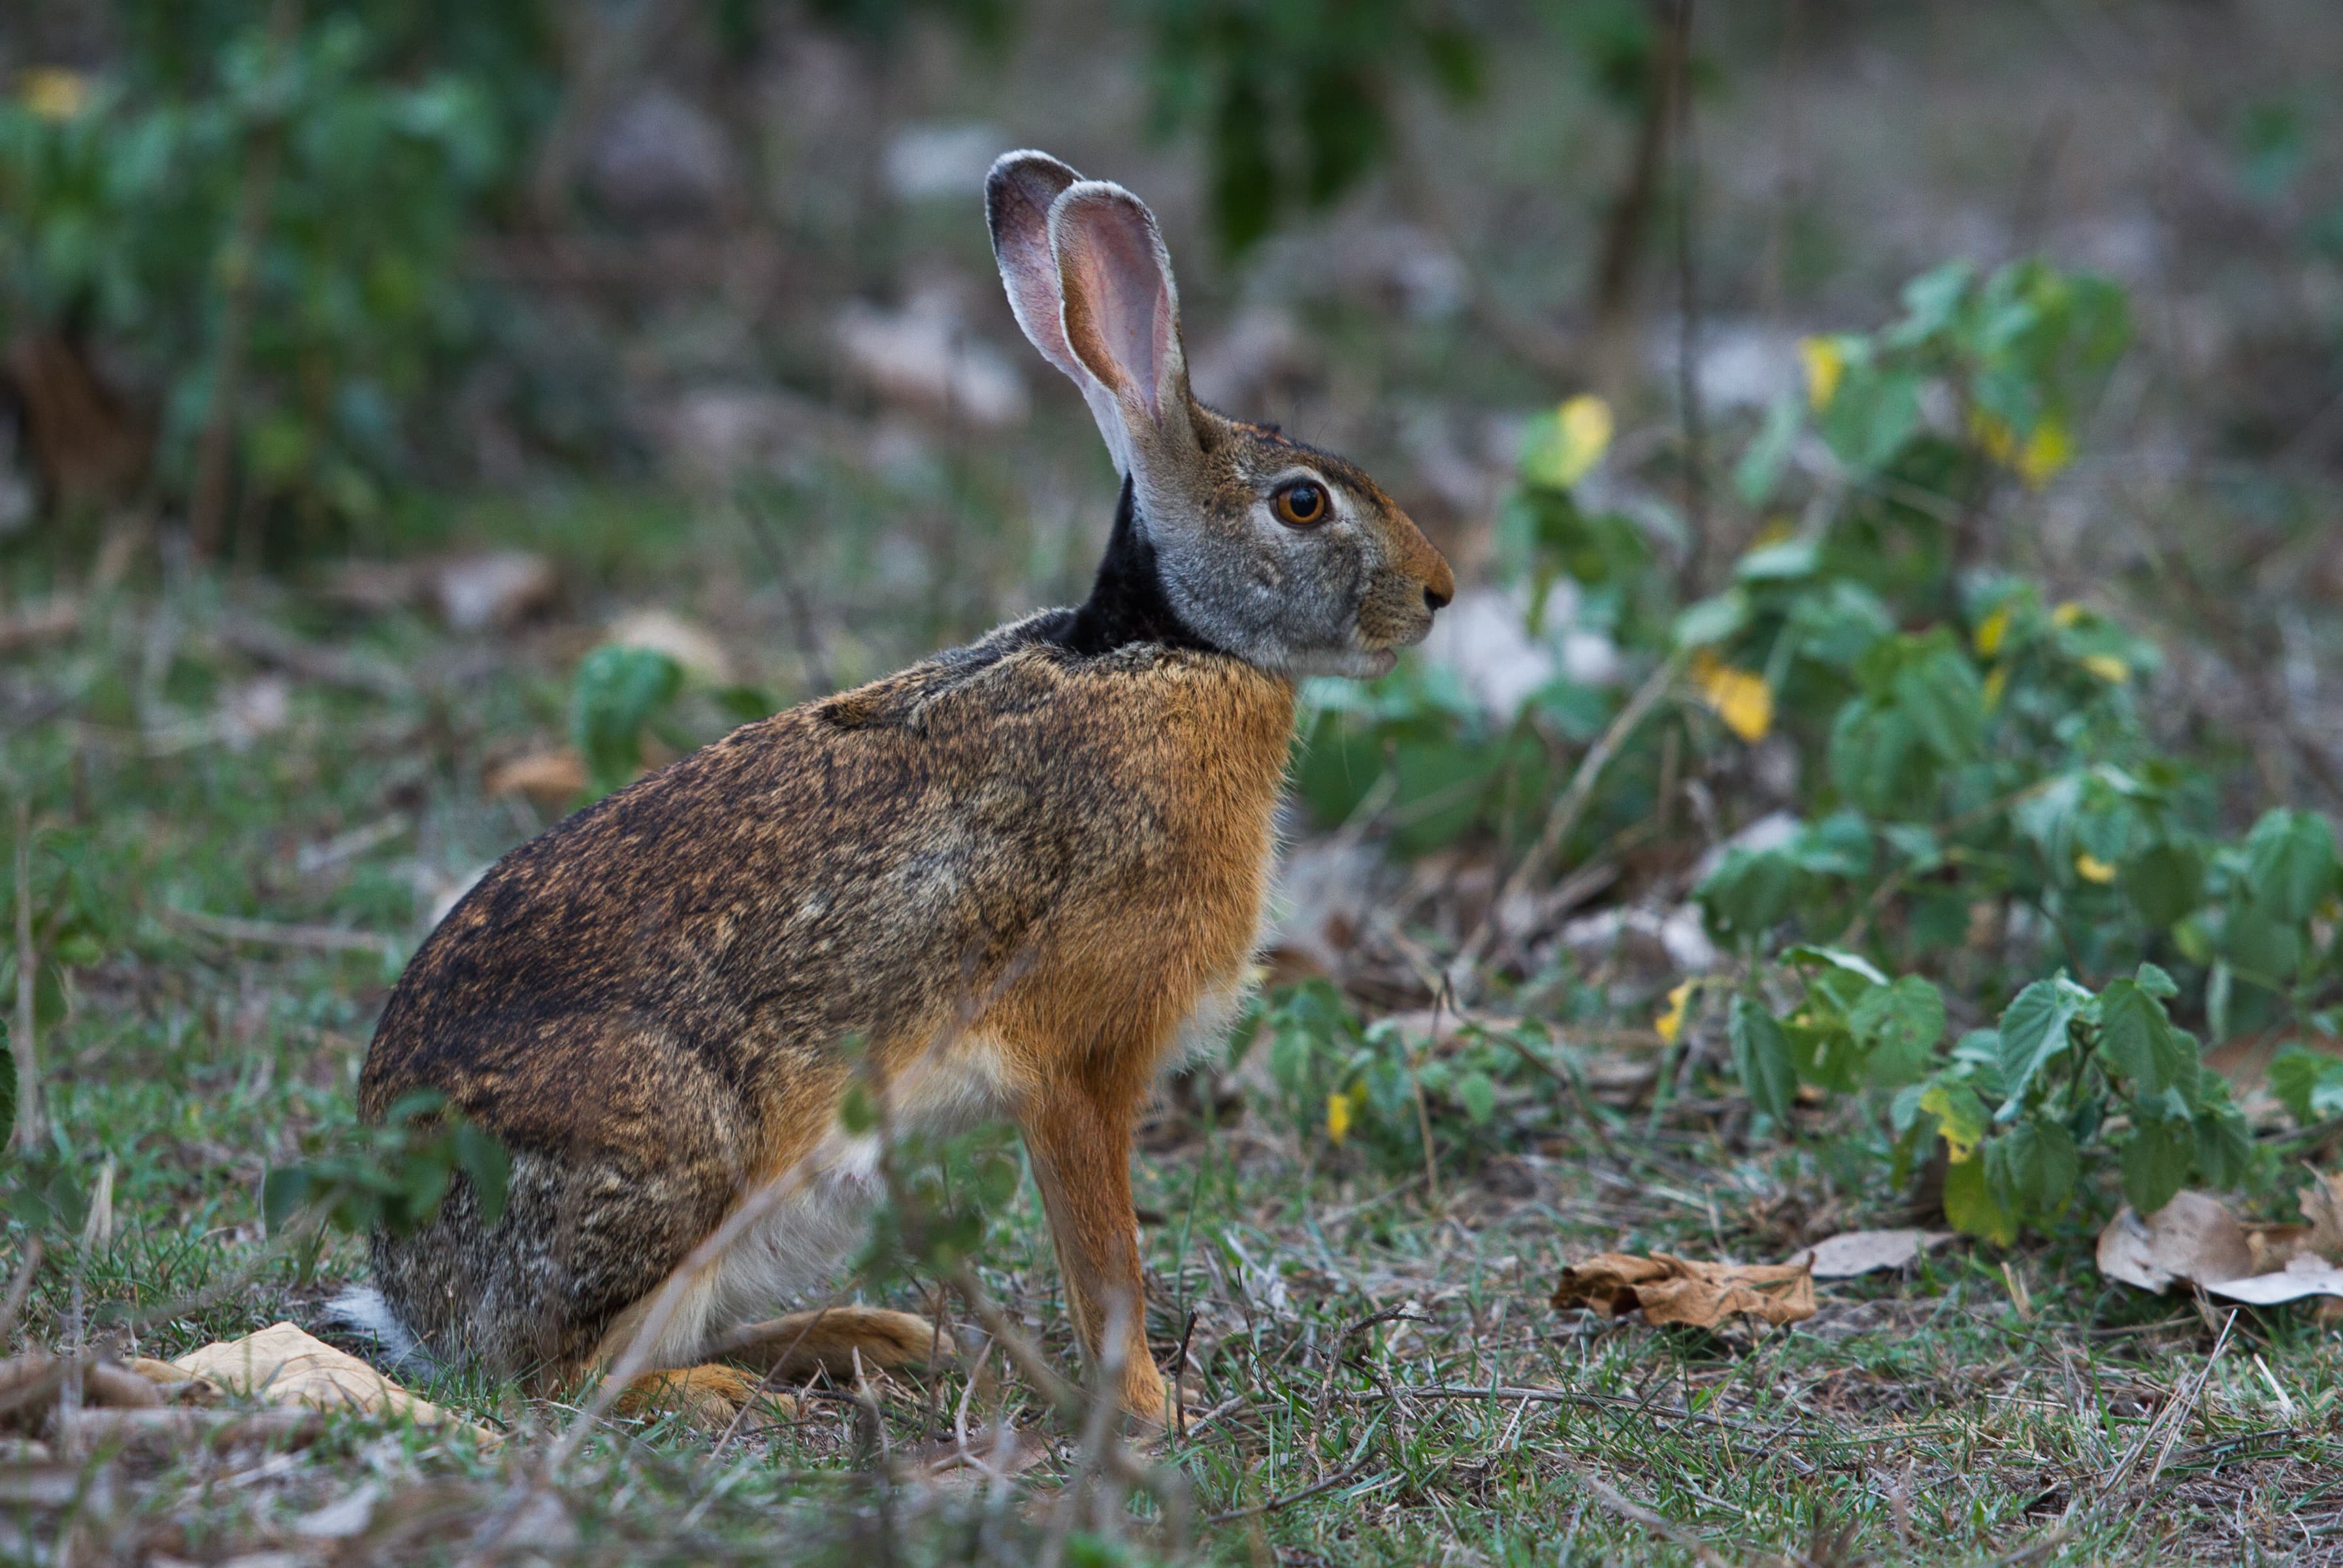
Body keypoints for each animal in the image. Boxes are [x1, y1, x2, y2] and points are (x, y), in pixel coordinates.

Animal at [339, 149, 1454, 1428]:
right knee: (559, 1378)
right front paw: (1144, 1408)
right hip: (677, 1153)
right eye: (1302, 503)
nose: (1439, 593)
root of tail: (411, 1295)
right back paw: (735, 1394)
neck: (1165, 646)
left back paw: (872, 1336)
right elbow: (1102, 1257)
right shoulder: (1079, 1064)